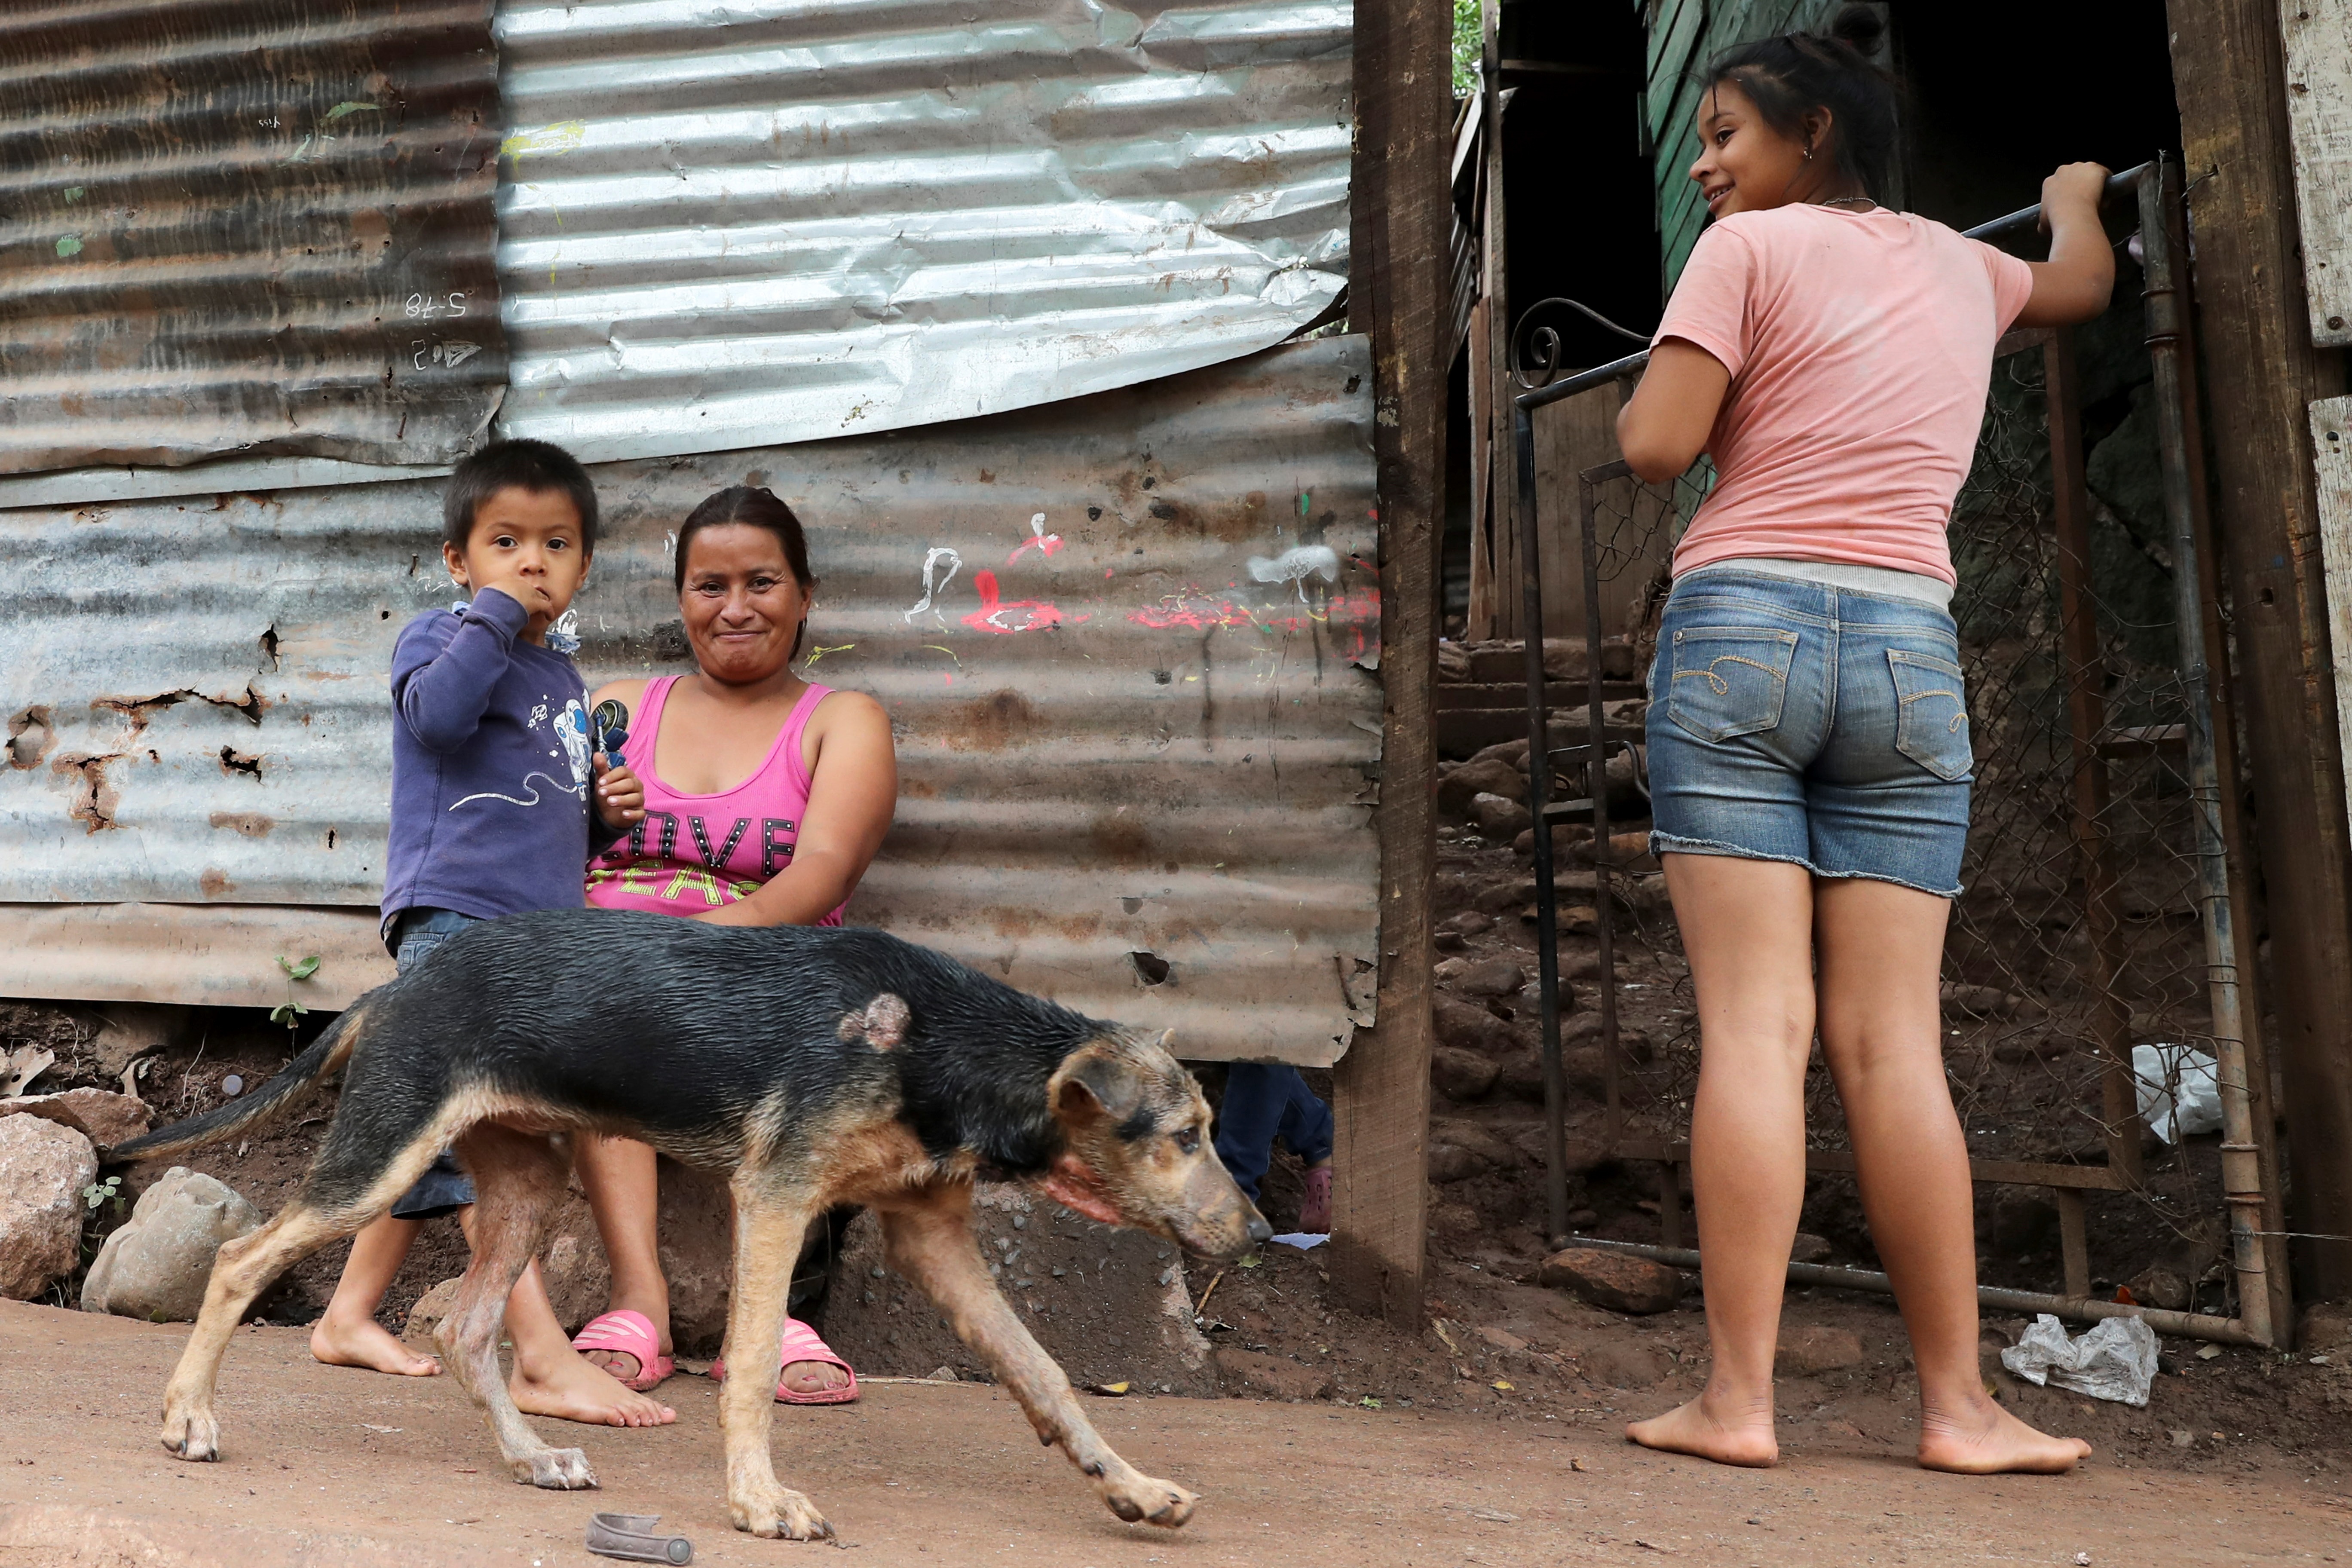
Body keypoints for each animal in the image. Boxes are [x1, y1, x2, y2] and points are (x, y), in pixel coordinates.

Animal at [110, 912, 1270, 1542]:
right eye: (1184, 1136)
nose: (1257, 1235)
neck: (937, 1041)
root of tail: (387, 995)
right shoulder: (780, 1195)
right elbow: (750, 1365)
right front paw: (760, 1502)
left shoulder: (932, 1234)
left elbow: (1045, 1375)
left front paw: (1131, 1489)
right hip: (383, 1156)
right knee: (239, 1258)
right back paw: (187, 1418)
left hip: (528, 1186)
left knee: (468, 1329)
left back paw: (534, 1458)